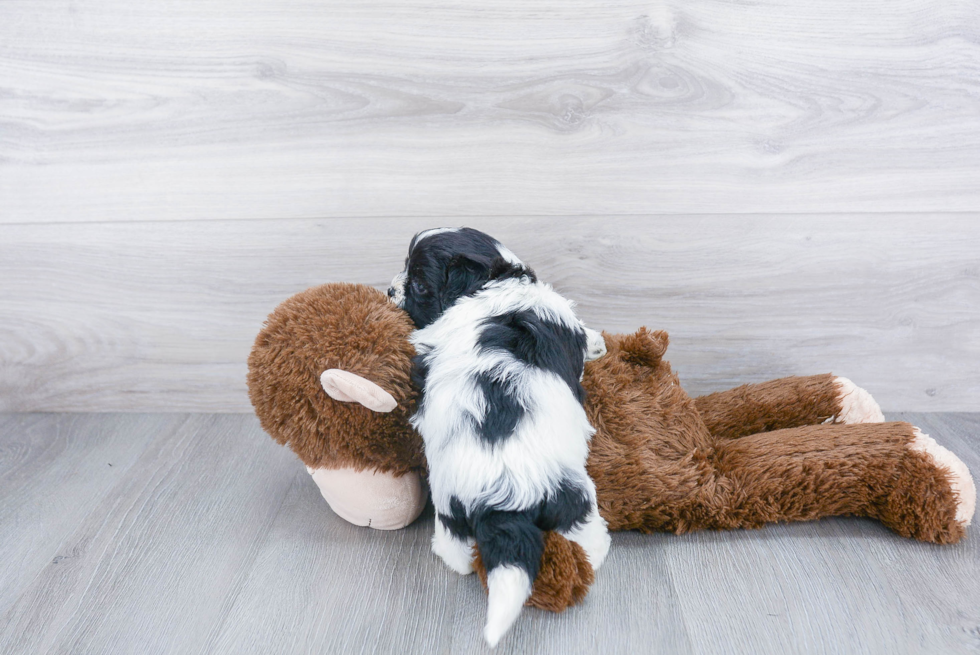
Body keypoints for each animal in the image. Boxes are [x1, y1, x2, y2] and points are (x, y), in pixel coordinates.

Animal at [386, 228, 608, 648]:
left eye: (418, 284)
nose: (390, 289)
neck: (494, 282)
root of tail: (504, 495)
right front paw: (597, 341)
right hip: (572, 499)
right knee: (585, 533)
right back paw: (598, 553)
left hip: (454, 506)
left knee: (455, 548)